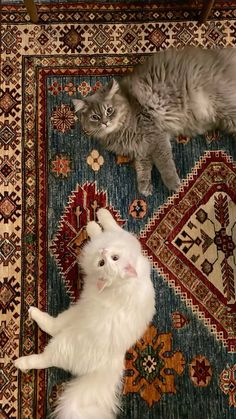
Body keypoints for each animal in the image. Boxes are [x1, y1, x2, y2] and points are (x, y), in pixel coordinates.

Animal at [14, 208, 155, 418]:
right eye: (103, 262)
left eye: (112, 259)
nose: (103, 251)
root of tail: (113, 361)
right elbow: (105, 230)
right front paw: (94, 225)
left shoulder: (121, 234)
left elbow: (109, 224)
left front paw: (95, 221)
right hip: (73, 315)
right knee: (53, 327)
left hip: (63, 342)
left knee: (44, 354)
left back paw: (22, 357)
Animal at [73, 47, 236, 197]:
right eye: (95, 117)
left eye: (109, 110)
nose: (105, 122)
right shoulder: (141, 149)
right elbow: (142, 169)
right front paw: (144, 187)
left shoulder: (156, 136)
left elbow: (164, 164)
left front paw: (174, 184)